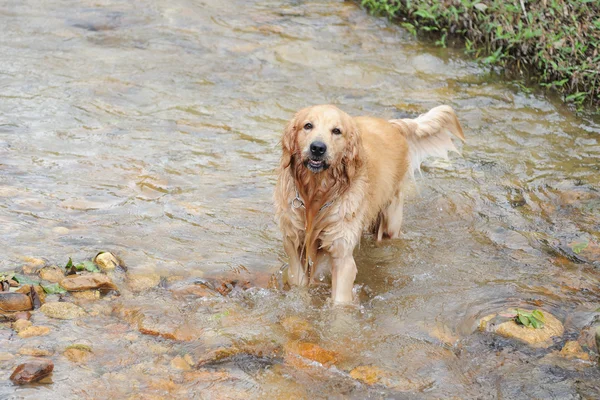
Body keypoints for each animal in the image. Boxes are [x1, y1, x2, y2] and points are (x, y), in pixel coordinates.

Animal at [274, 104, 466, 304]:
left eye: (336, 131)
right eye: (308, 125)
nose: (318, 148)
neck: (317, 194)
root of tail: (392, 125)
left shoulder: (342, 253)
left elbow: (340, 300)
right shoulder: (293, 243)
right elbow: (299, 282)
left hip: (391, 218)